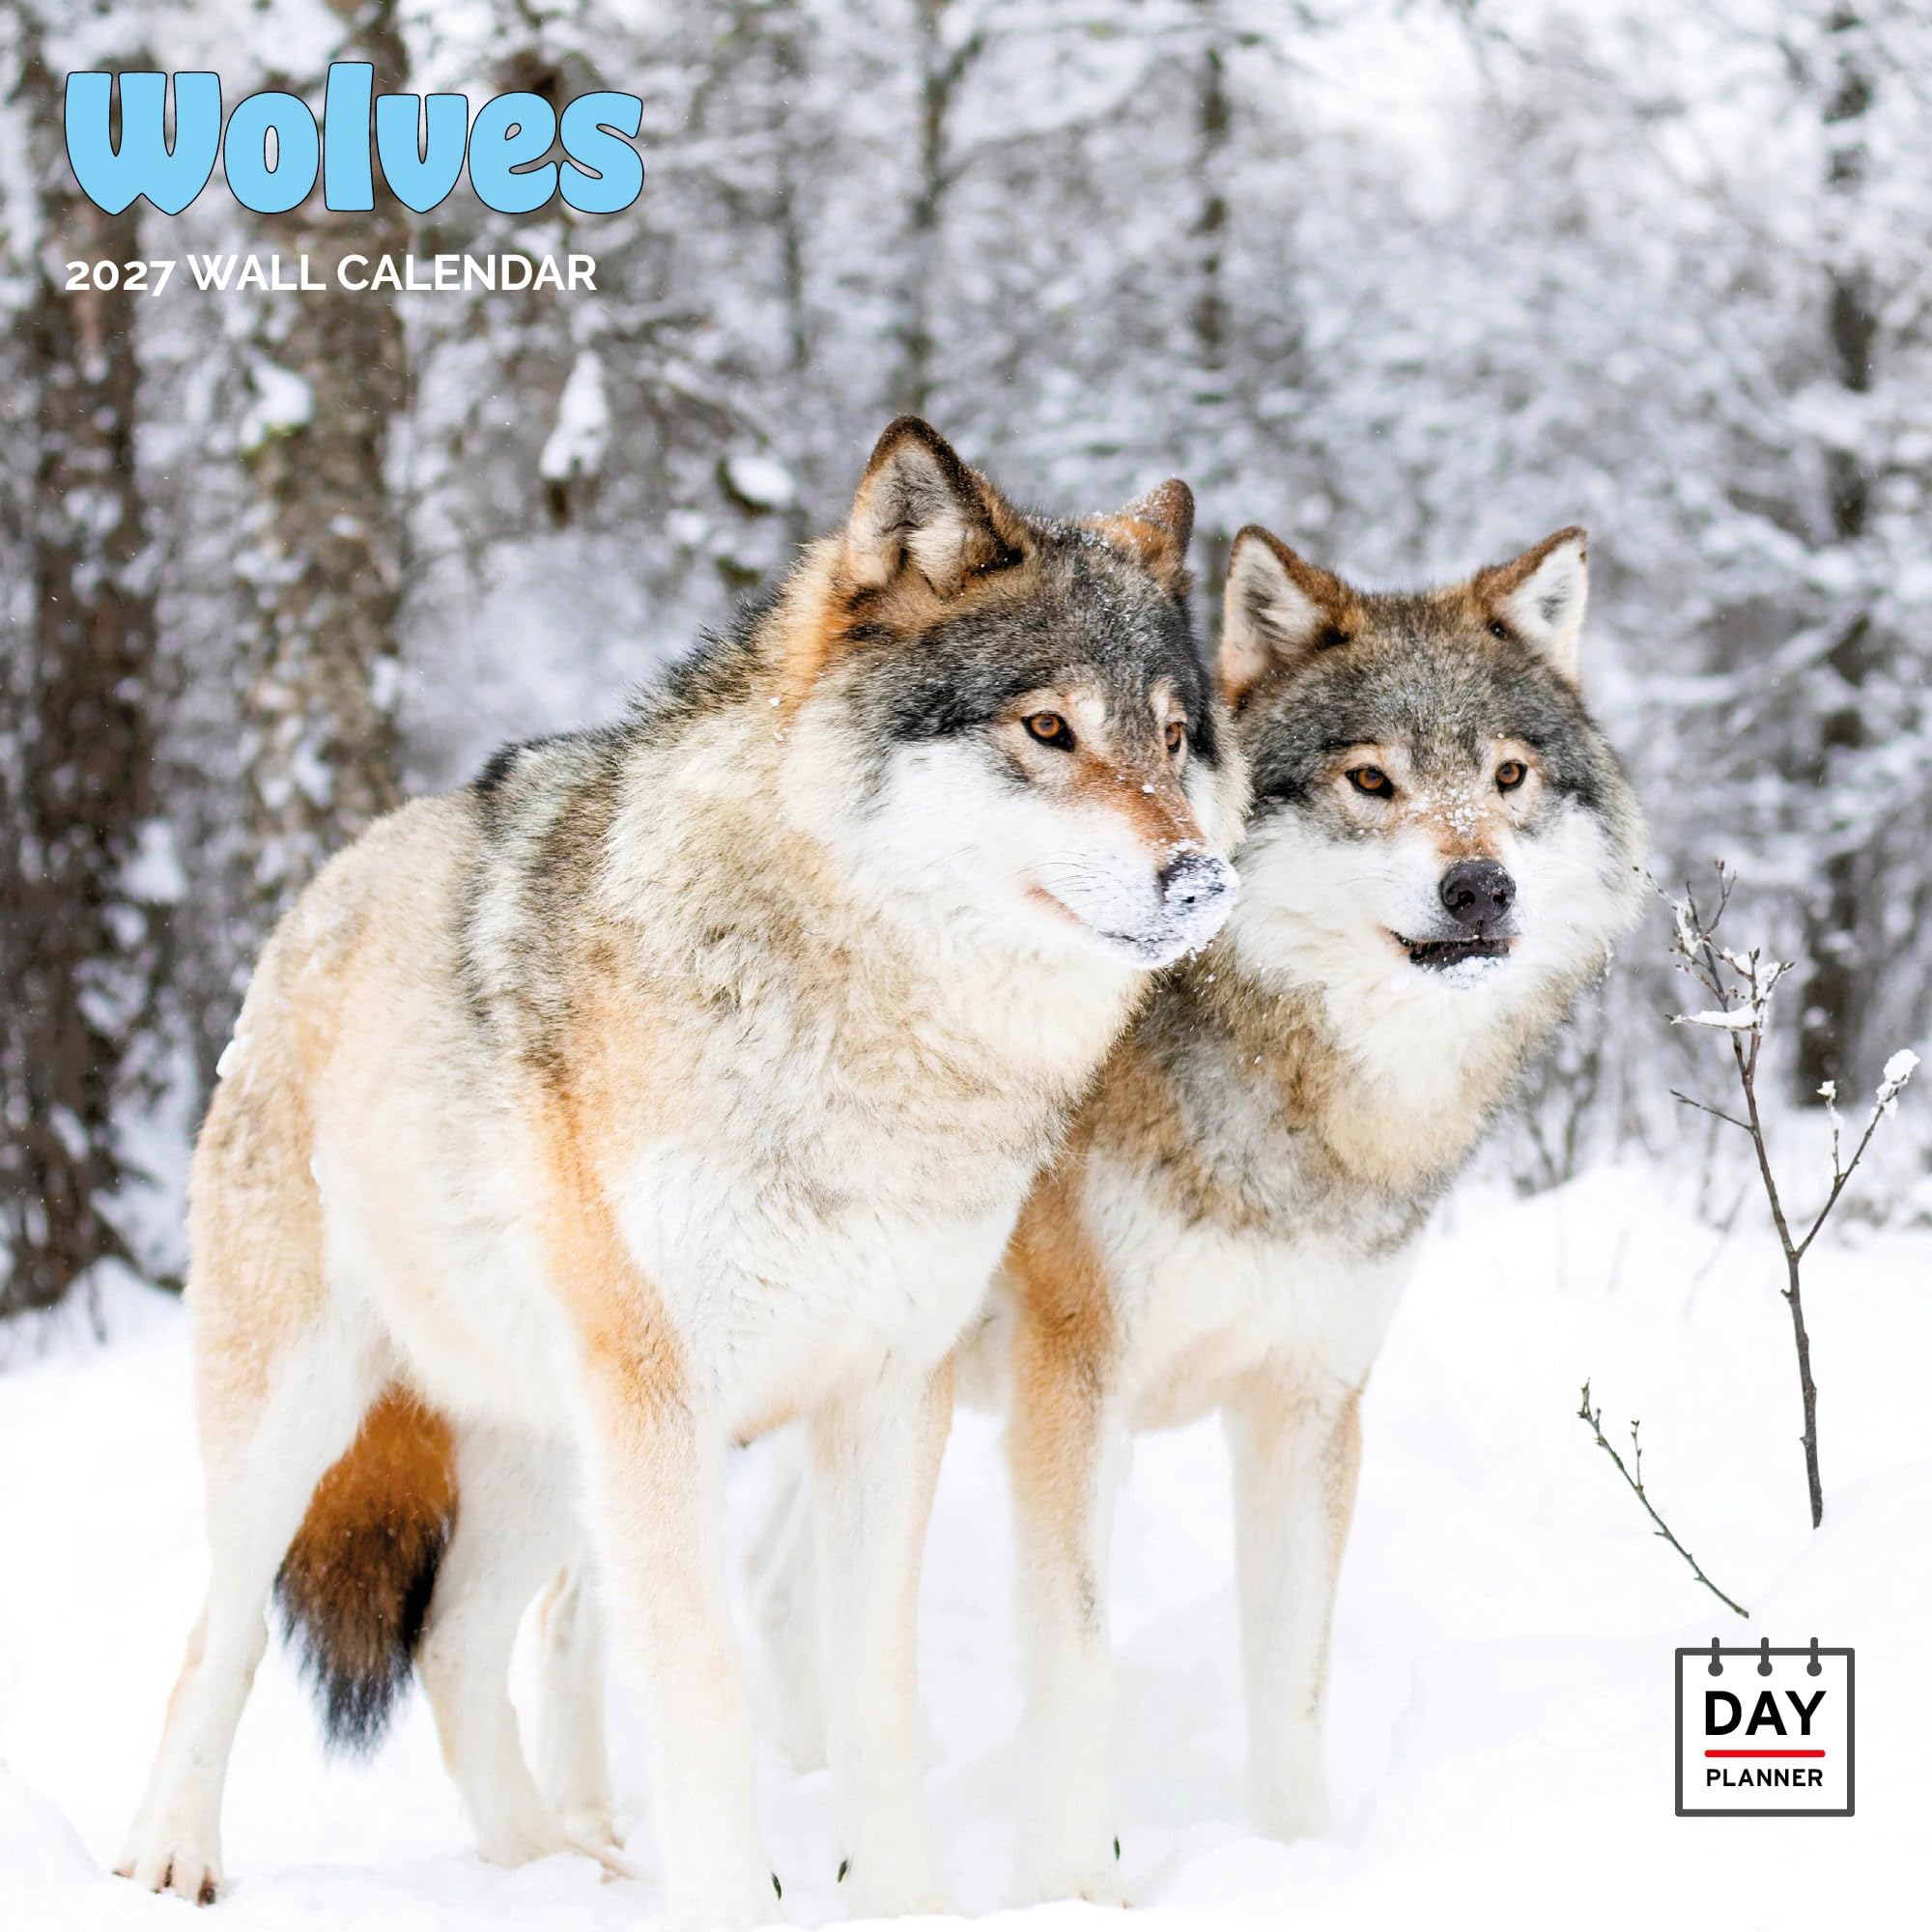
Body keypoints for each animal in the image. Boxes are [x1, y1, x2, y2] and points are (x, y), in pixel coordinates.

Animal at [115, 417, 1243, 1928]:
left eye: (1175, 740)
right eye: (1047, 729)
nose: (1203, 883)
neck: (868, 1034)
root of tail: (325, 881)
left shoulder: (890, 1393)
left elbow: (871, 1698)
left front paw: (899, 1902)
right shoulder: (666, 1408)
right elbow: (703, 1703)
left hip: (548, 1454)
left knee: (459, 1644)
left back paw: (549, 1865)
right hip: (304, 1421)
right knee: (219, 1628)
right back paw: (169, 1858)